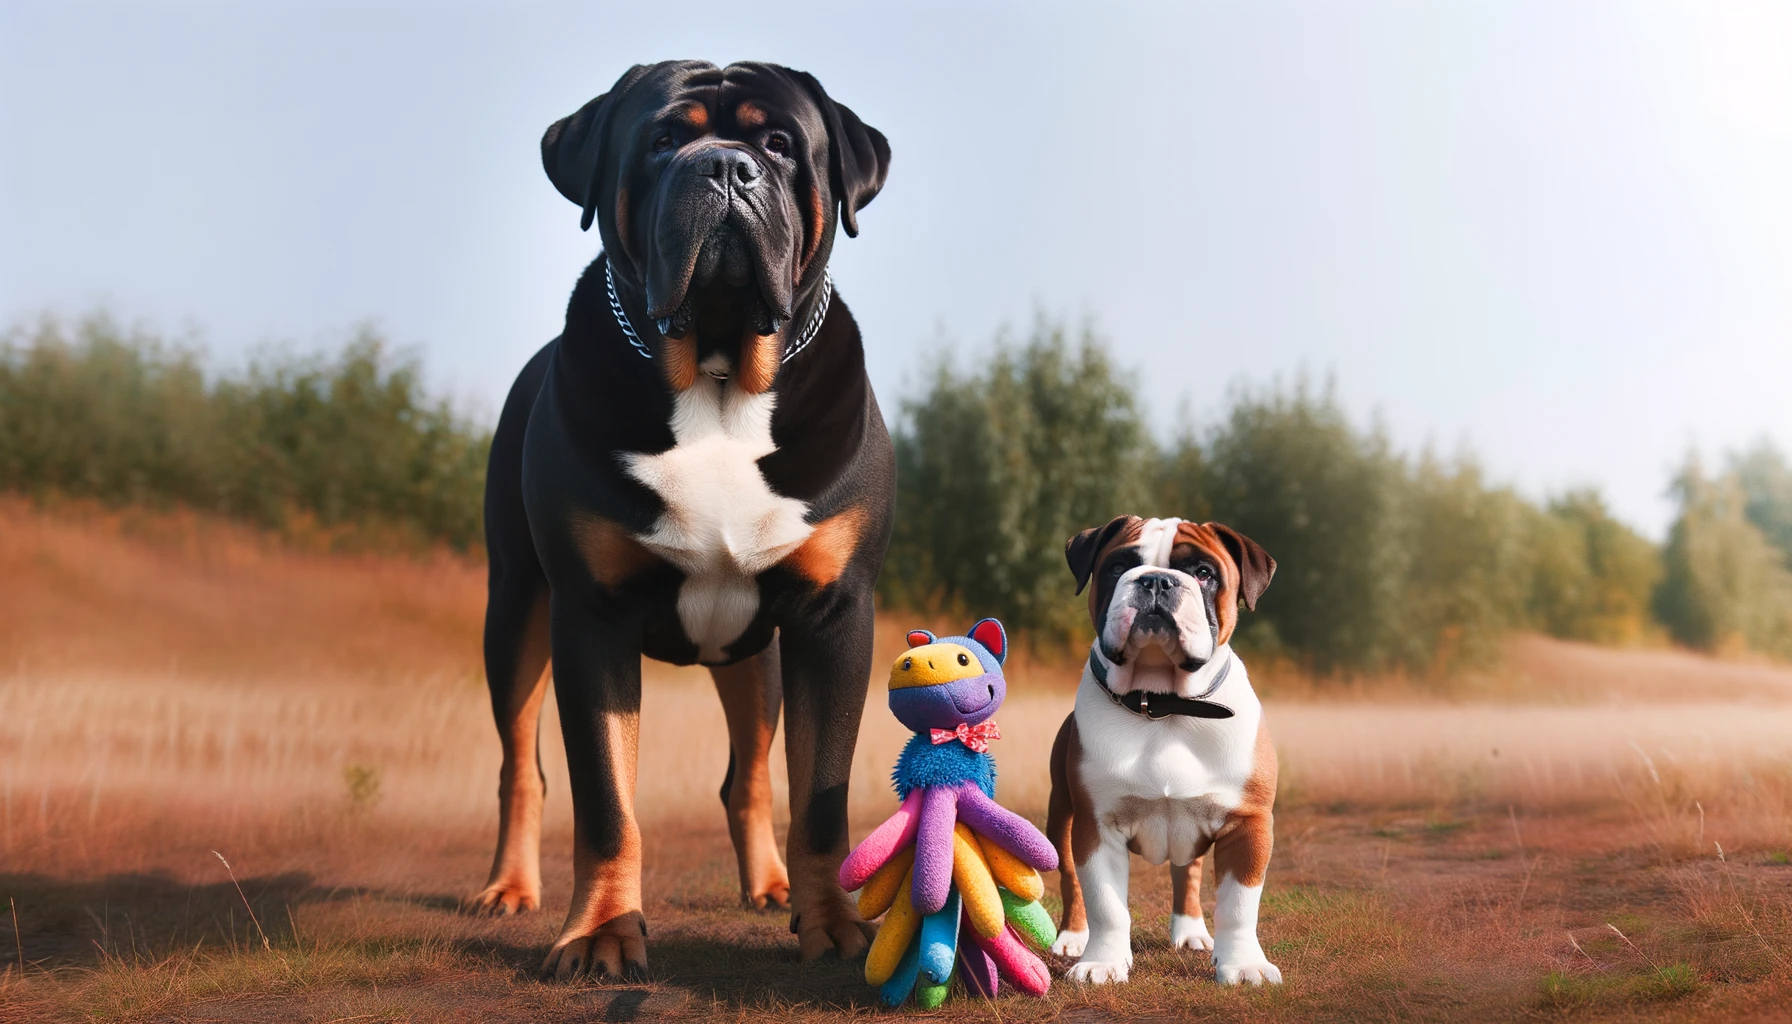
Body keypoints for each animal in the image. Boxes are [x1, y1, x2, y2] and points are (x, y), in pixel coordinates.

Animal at [469, 60, 896, 982]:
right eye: (665, 139)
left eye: (780, 143)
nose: (726, 167)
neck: (717, 374)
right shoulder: (588, 616)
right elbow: (605, 800)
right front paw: (600, 934)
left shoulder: (833, 614)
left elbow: (821, 793)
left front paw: (834, 928)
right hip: (514, 607)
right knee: (520, 763)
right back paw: (509, 888)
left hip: (755, 657)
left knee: (751, 776)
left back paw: (769, 885)